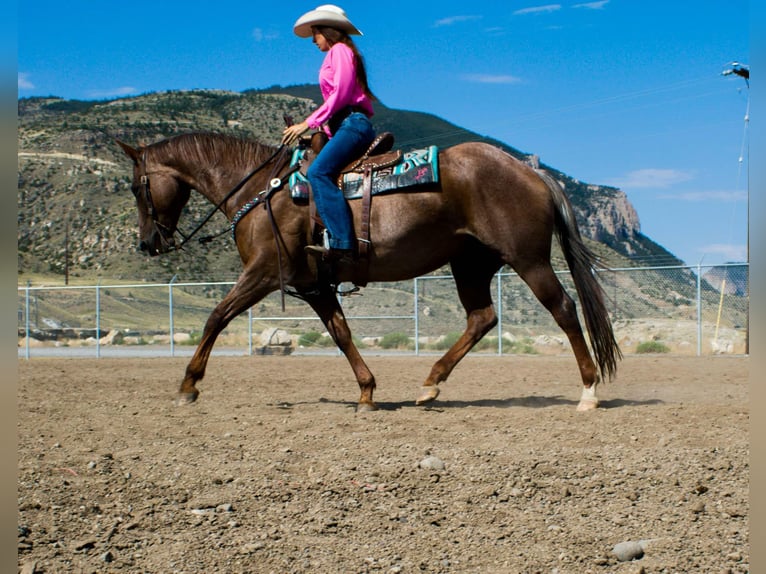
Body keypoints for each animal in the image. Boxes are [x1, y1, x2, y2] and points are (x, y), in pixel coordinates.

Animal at [117, 131, 621, 412]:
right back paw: (429, 385)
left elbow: (216, 317)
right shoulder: (314, 285)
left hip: (528, 260)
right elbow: (341, 334)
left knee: (563, 308)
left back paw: (588, 391)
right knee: (482, 318)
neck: (264, 190)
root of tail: (532, 173)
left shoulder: (263, 274)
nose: (148, 243)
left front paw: (188, 385)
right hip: (470, 263)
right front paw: (366, 392)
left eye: (137, 186)